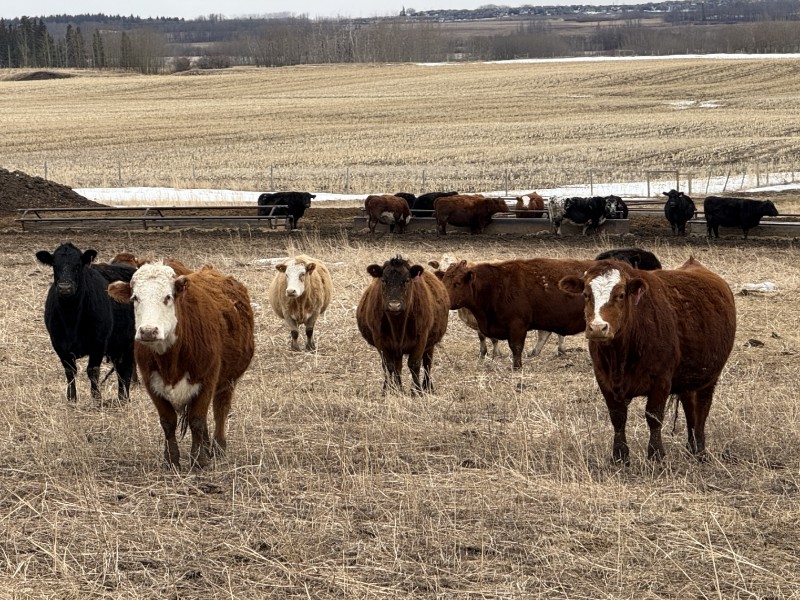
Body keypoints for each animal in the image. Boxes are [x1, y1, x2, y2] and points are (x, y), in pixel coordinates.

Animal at [36, 243, 135, 404]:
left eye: (78, 265)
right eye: (54, 265)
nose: (65, 288)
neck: (71, 318)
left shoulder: (99, 343)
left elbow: (92, 371)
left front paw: (96, 398)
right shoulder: (58, 344)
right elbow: (69, 372)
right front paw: (71, 398)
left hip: (129, 342)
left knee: (125, 369)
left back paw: (124, 398)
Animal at [108, 262, 255, 469]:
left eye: (168, 297)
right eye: (135, 297)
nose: (148, 331)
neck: (171, 360)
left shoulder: (207, 380)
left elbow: (197, 419)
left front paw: (199, 460)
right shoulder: (151, 383)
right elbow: (168, 421)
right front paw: (171, 459)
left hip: (228, 381)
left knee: (220, 410)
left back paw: (218, 447)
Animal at [356, 256, 449, 394]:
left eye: (406, 281)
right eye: (384, 280)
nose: (394, 305)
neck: (398, 325)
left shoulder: (421, 338)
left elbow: (414, 364)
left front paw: (417, 391)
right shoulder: (380, 340)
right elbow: (388, 365)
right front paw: (388, 391)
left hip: (430, 344)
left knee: (427, 363)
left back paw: (428, 387)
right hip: (397, 351)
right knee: (397, 367)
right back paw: (399, 389)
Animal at [438, 258, 594, 370]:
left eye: (457, 283)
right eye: (443, 280)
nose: (443, 299)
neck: (494, 286)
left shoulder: (517, 325)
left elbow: (516, 347)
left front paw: (517, 367)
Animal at [558, 257, 736, 464]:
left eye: (620, 295)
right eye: (586, 294)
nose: (597, 328)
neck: (620, 356)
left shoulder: (661, 380)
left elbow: (654, 416)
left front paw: (656, 454)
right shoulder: (604, 379)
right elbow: (617, 417)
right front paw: (620, 456)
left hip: (709, 376)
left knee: (702, 407)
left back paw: (699, 449)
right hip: (688, 379)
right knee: (689, 406)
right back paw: (692, 446)